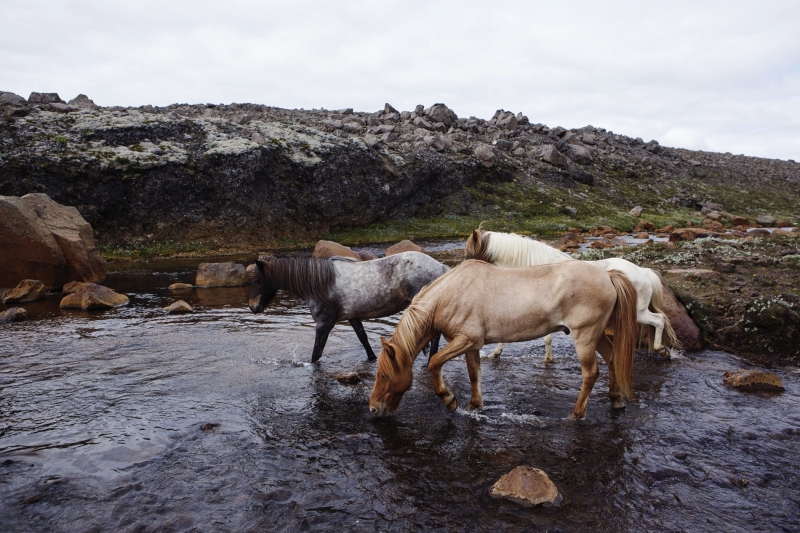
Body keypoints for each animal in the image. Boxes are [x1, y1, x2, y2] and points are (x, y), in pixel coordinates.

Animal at [248, 250, 450, 362]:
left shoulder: (323, 325)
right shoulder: (353, 317)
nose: (252, 307)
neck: (321, 284)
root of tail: (440, 267)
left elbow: (316, 354)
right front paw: (372, 358)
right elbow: (364, 339)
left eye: (257, 281)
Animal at [368, 258, 636, 420]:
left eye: (384, 375)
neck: (450, 294)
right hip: (597, 336)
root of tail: (608, 276)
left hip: (585, 337)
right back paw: (616, 401)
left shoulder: (464, 340)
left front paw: (449, 400)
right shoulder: (471, 344)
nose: (373, 408)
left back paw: (576, 414)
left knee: (591, 373)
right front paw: (474, 405)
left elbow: (434, 363)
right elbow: (474, 374)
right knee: (612, 359)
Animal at [466, 228, 680, 358]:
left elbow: (544, 338)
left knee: (659, 320)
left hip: (639, 312)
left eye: (470, 254)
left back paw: (661, 348)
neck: (534, 268)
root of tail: (643, 271)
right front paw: (496, 353)